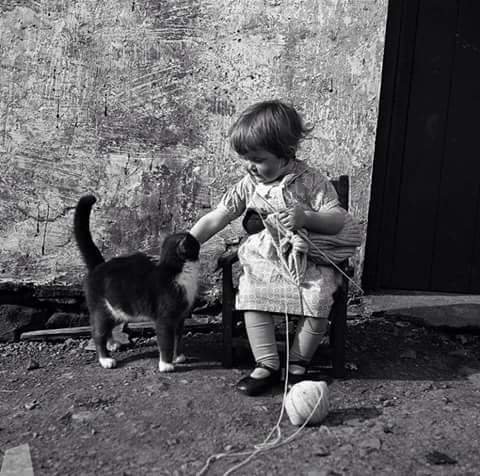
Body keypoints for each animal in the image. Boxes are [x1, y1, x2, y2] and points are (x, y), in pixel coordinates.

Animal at [72, 194, 199, 372]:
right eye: (195, 243)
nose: (198, 240)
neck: (176, 272)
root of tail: (99, 266)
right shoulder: (165, 318)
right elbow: (166, 340)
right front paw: (166, 364)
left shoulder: (180, 318)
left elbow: (177, 338)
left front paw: (178, 356)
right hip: (101, 308)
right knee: (97, 333)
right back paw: (105, 359)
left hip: (118, 308)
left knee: (107, 328)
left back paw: (112, 343)